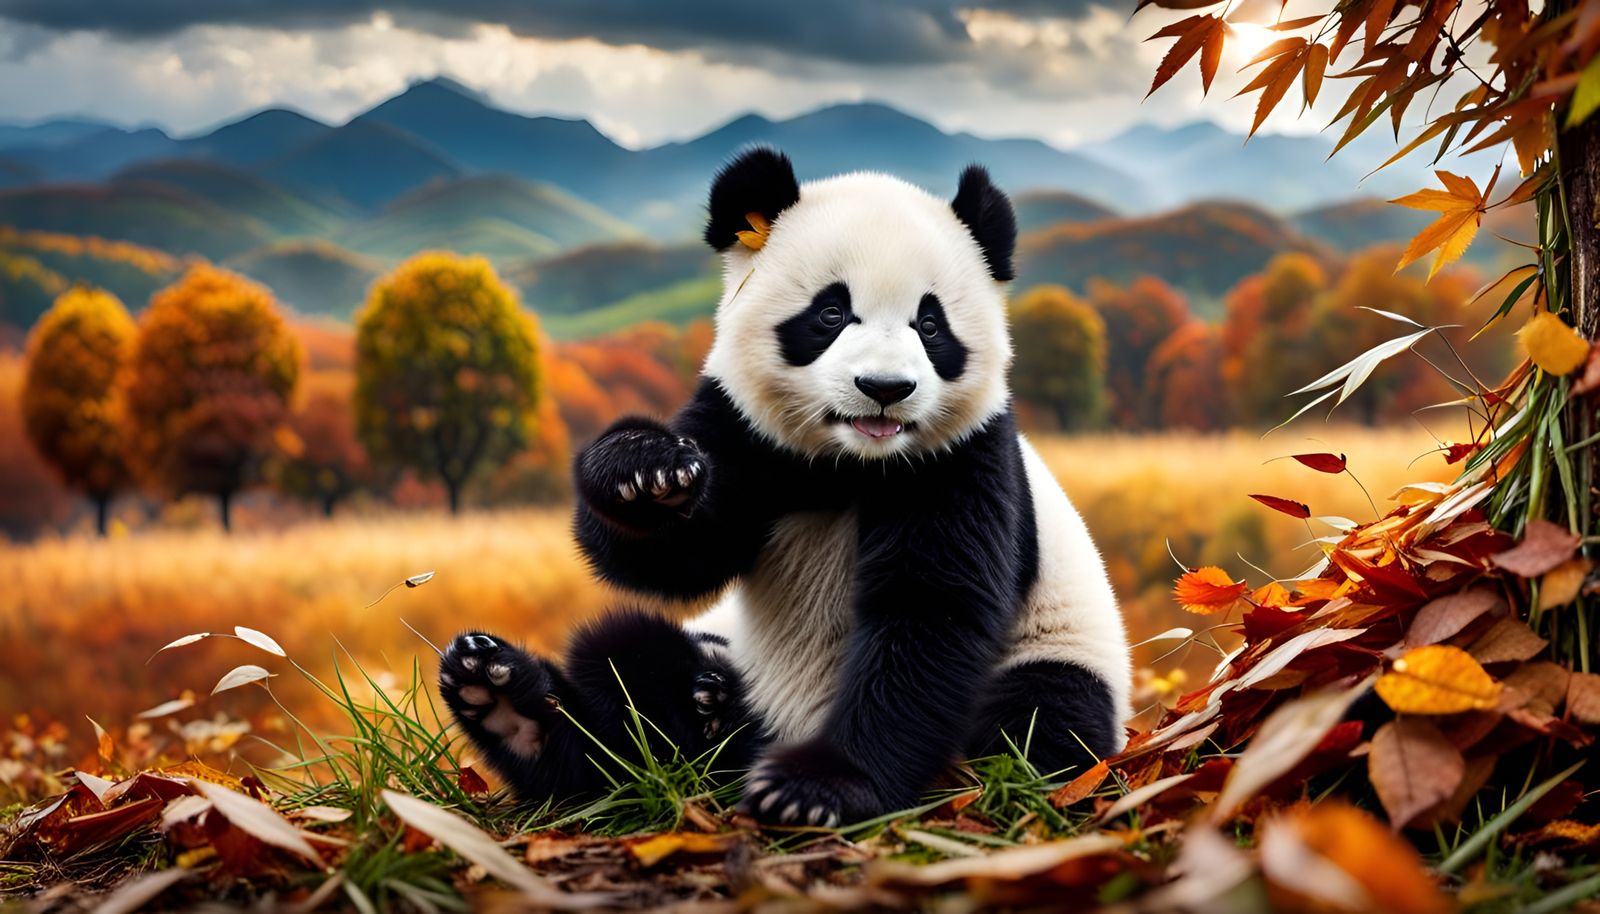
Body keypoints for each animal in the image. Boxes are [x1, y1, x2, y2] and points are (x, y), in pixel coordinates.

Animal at [438, 148, 1130, 827]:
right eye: (830, 312)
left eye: (931, 326)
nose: (884, 388)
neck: (851, 462)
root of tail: (757, 738)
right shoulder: (744, 431)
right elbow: (675, 559)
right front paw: (644, 472)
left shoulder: (962, 457)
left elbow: (929, 612)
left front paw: (818, 788)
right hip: (729, 656)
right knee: (624, 661)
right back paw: (519, 700)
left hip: (1058, 650)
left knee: (1040, 719)